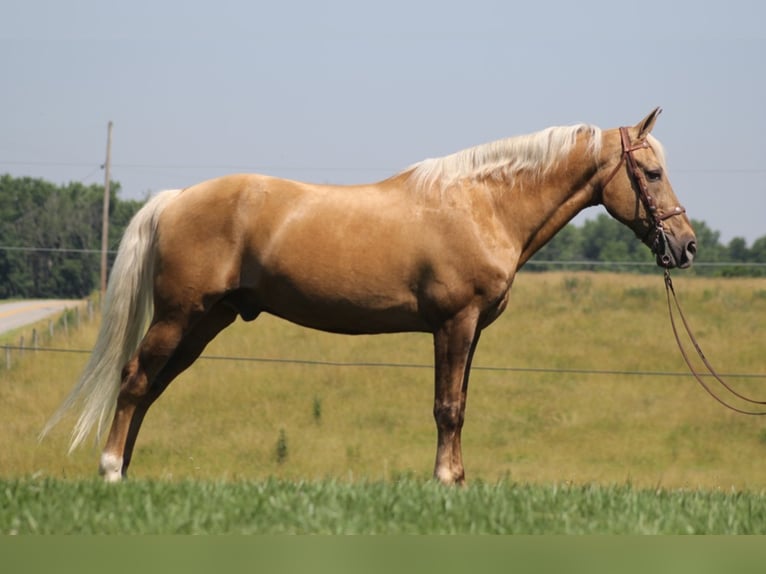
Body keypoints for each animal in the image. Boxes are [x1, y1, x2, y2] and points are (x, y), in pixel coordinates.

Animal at [45, 109, 700, 486]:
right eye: (652, 173)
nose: (687, 245)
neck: (482, 203)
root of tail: (176, 198)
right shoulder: (454, 323)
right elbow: (447, 408)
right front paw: (444, 483)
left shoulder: (472, 331)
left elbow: (461, 405)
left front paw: (458, 481)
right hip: (180, 316)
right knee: (135, 379)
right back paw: (110, 470)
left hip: (205, 322)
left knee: (150, 388)